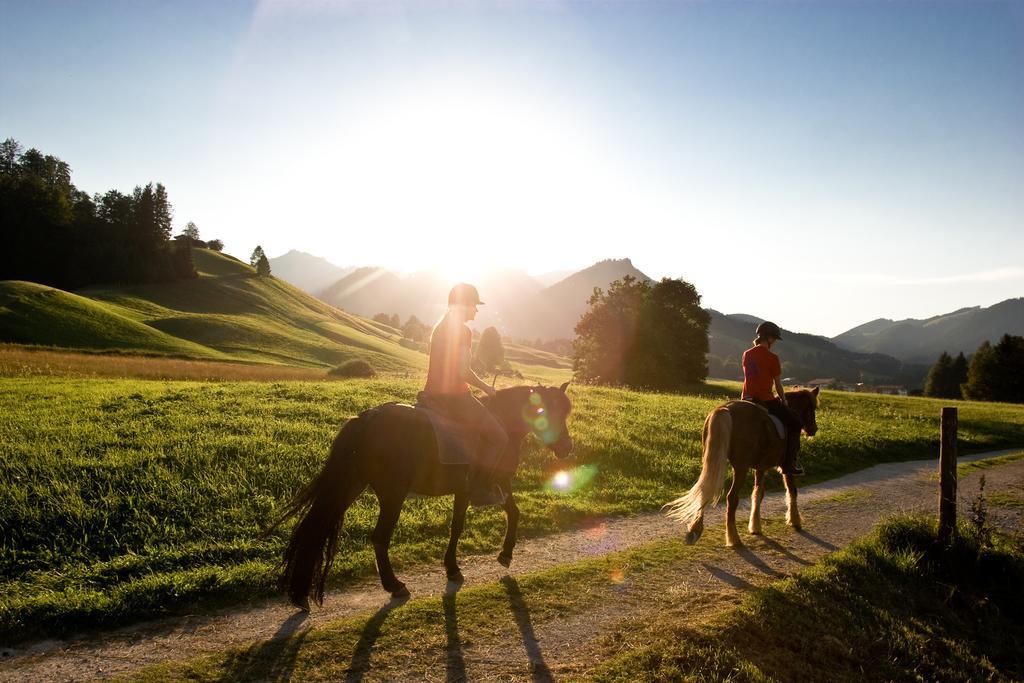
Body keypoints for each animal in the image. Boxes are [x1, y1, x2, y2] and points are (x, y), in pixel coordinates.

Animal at [268, 385, 573, 610]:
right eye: (548, 411)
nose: (566, 447)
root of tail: (367, 418)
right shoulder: (483, 484)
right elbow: (471, 522)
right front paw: (479, 560)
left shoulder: (477, 487)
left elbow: (497, 515)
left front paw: (487, 558)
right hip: (392, 495)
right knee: (379, 538)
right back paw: (394, 585)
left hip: (351, 484)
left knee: (317, 527)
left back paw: (300, 594)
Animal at [663, 387, 823, 548]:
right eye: (812, 407)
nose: (813, 429)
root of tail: (724, 409)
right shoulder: (787, 466)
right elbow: (792, 490)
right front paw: (795, 520)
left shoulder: (760, 467)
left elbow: (758, 493)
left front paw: (756, 526)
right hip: (741, 468)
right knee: (731, 497)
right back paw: (733, 538)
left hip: (712, 460)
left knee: (705, 490)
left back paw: (695, 530)